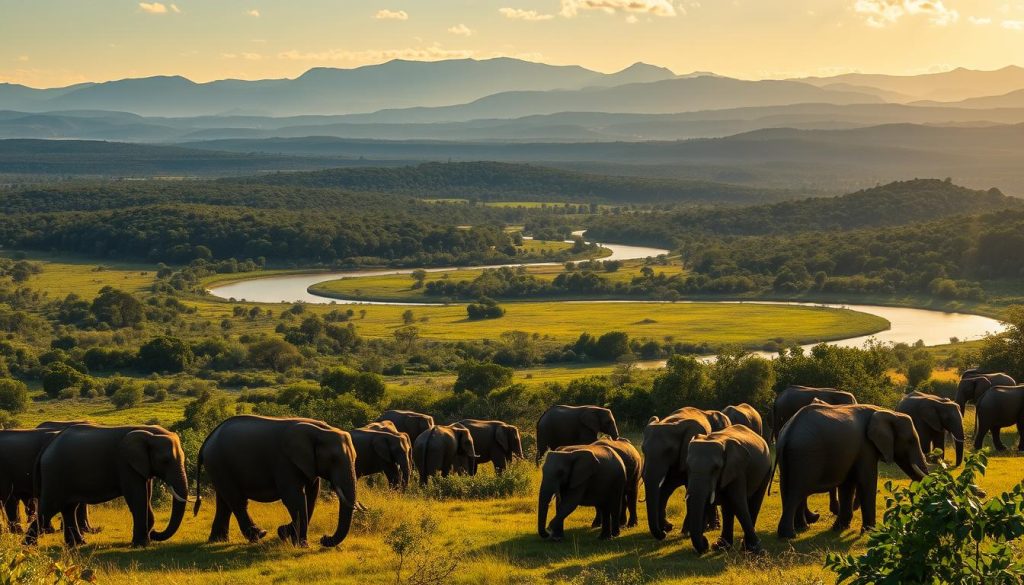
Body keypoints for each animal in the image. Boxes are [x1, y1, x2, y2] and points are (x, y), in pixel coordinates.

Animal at [25, 424, 188, 548]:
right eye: (165, 461)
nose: (154, 533)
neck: (148, 433)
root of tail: (46, 447)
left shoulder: (140, 466)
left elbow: (146, 496)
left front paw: (145, 539)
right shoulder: (125, 464)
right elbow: (137, 497)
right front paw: (142, 544)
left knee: (69, 508)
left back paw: (78, 544)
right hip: (54, 474)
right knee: (49, 507)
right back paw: (28, 547)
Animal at [195, 415, 358, 548]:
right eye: (333, 459)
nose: (323, 538)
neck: (320, 430)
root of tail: (206, 442)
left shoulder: (308, 464)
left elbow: (311, 496)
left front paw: (285, 533)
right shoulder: (285, 462)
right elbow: (294, 497)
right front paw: (301, 544)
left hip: (218, 467)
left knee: (224, 502)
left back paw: (218, 541)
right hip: (219, 463)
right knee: (236, 500)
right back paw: (259, 534)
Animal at [641, 407, 717, 540]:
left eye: (669, 450)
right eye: (643, 450)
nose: (664, 533)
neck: (671, 422)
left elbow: (689, 490)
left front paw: (685, 532)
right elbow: (664, 489)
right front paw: (667, 527)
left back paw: (710, 528)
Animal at [685, 424, 771, 555]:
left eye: (716, 468)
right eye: (688, 466)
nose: (705, 543)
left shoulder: (737, 470)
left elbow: (738, 502)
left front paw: (757, 550)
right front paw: (717, 546)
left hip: (766, 469)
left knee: (755, 501)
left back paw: (746, 547)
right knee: (727, 506)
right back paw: (721, 546)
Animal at [776, 404, 928, 539]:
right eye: (910, 441)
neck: (886, 411)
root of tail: (787, 433)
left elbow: (847, 484)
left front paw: (840, 528)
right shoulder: (866, 447)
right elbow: (867, 480)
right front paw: (871, 532)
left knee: (787, 490)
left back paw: (801, 528)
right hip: (805, 457)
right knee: (797, 492)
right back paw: (790, 535)